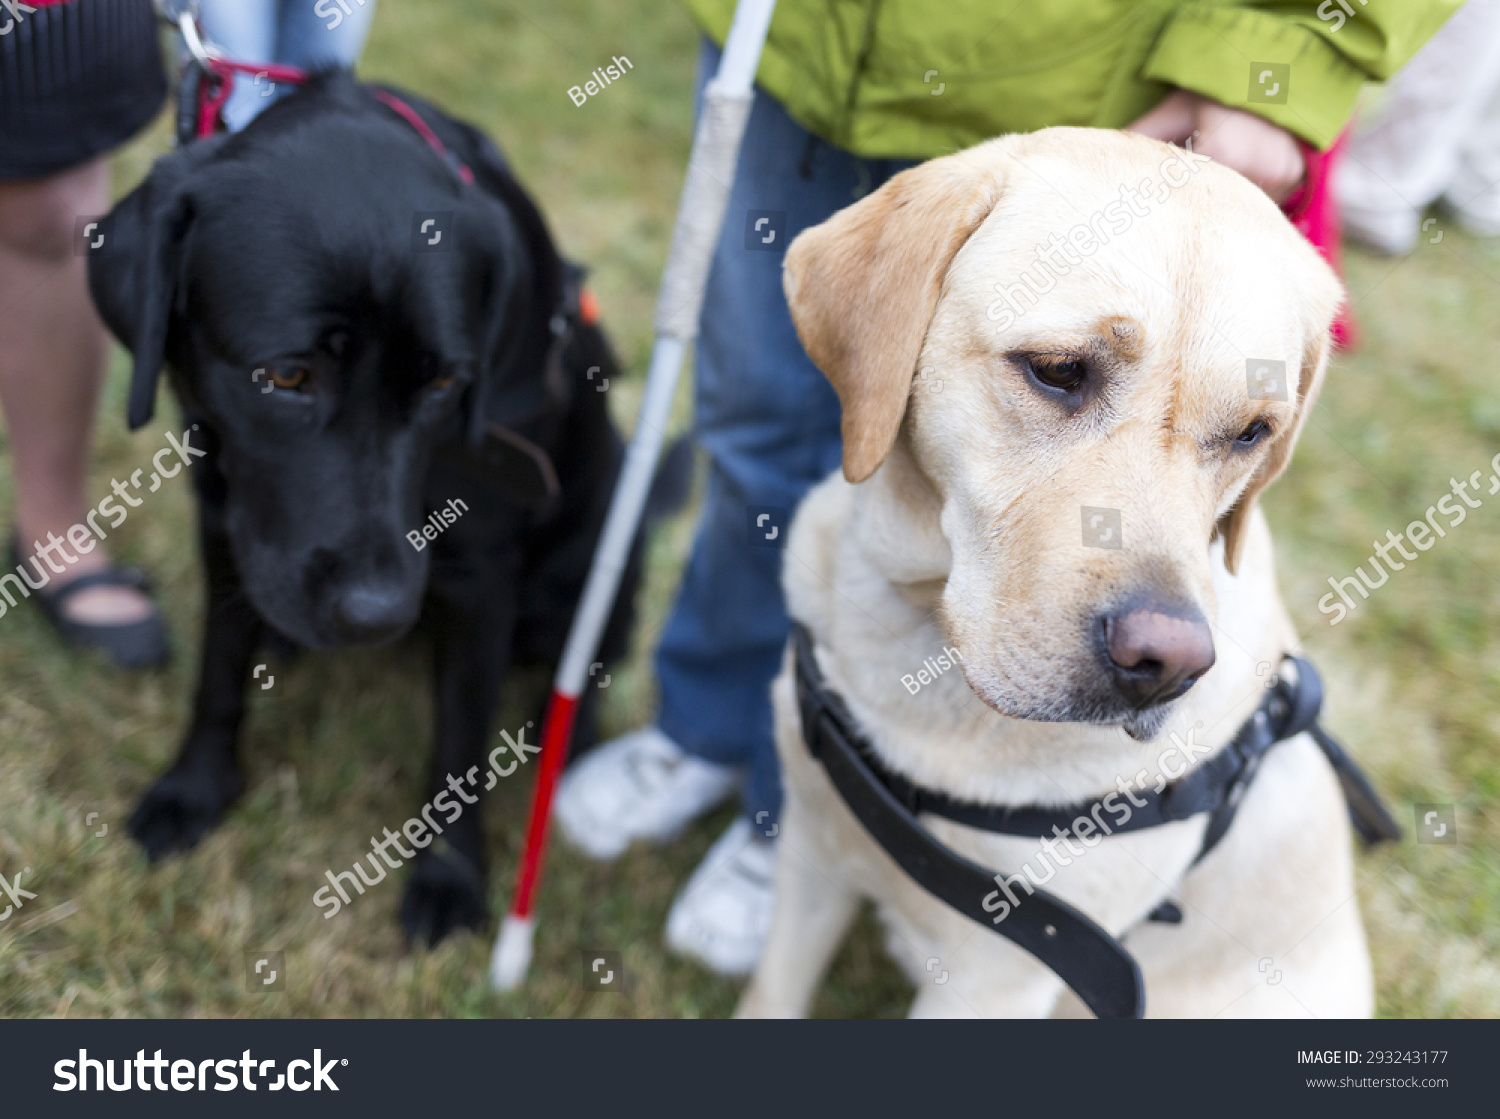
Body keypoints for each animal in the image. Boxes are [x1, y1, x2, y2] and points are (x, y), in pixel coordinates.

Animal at [87, 69, 681, 942]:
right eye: (286, 376)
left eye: (444, 382)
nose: (377, 615)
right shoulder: (227, 515)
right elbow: (219, 673)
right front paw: (194, 790)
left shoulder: (480, 571)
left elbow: (460, 740)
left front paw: (450, 878)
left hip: (606, 550)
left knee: (587, 666)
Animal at [738, 126, 1374, 1014]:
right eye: (1058, 369)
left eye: (1253, 431)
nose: (1167, 664)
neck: (921, 657)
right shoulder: (812, 853)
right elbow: (771, 993)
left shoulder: (998, 978)